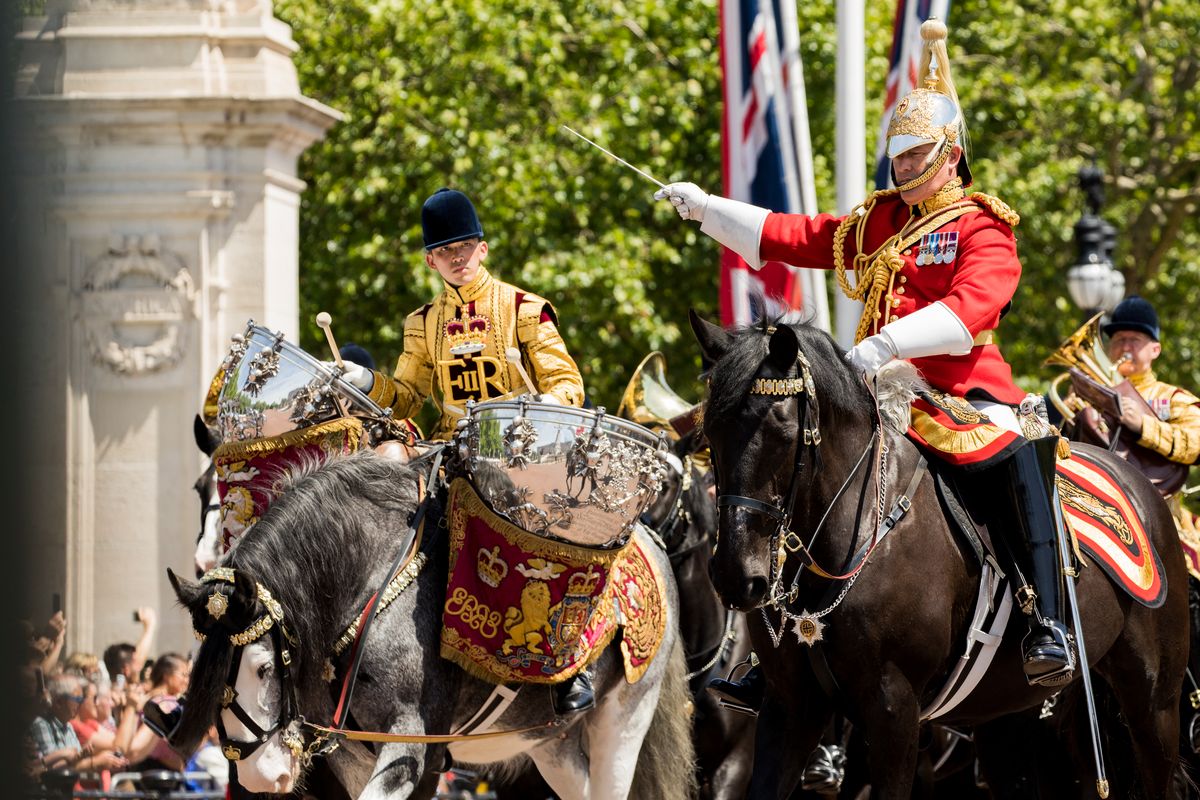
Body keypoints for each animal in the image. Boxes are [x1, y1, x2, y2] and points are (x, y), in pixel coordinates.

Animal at [691, 311, 1185, 800]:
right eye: (710, 432)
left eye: (782, 430)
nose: (736, 575)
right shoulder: (789, 707)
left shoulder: (894, 709)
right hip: (1010, 714)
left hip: (1154, 705)